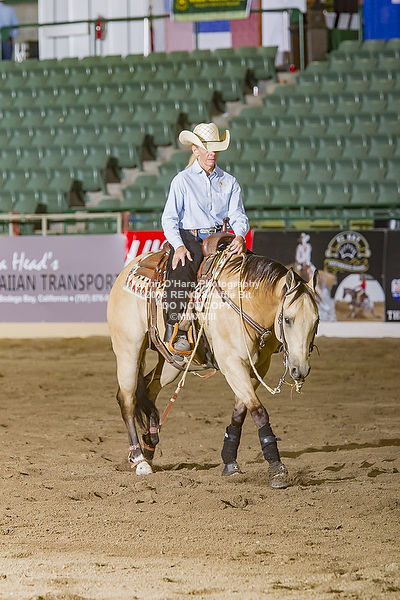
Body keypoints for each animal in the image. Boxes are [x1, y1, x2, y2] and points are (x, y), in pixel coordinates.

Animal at [107, 249, 319, 489]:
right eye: (287, 319)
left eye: (316, 321)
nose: (300, 369)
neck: (247, 303)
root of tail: (129, 267)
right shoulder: (232, 364)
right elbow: (258, 411)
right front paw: (277, 469)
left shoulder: (258, 367)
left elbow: (240, 411)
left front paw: (230, 462)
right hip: (128, 348)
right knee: (127, 398)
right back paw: (139, 459)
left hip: (172, 362)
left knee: (149, 389)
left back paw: (149, 446)